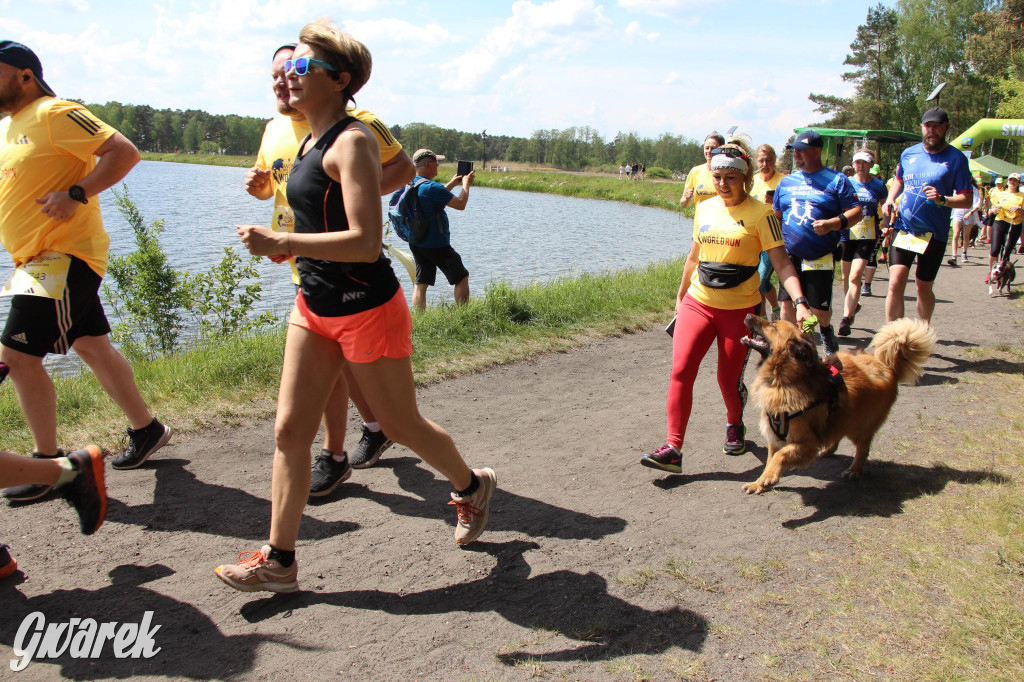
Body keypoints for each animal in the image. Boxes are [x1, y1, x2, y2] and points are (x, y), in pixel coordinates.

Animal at [741, 313, 933, 493]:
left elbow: (780, 455)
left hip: (860, 426)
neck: (781, 379)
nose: (748, 315)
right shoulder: (774, 437)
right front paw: (759, 482)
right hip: (843, 415)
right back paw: (830, 449)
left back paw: (854, 470)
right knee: (838, 431)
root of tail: (887, 367)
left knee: (863, 449)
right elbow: (770, 459)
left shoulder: (807, 444)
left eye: (772, 325)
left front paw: (768, 477)